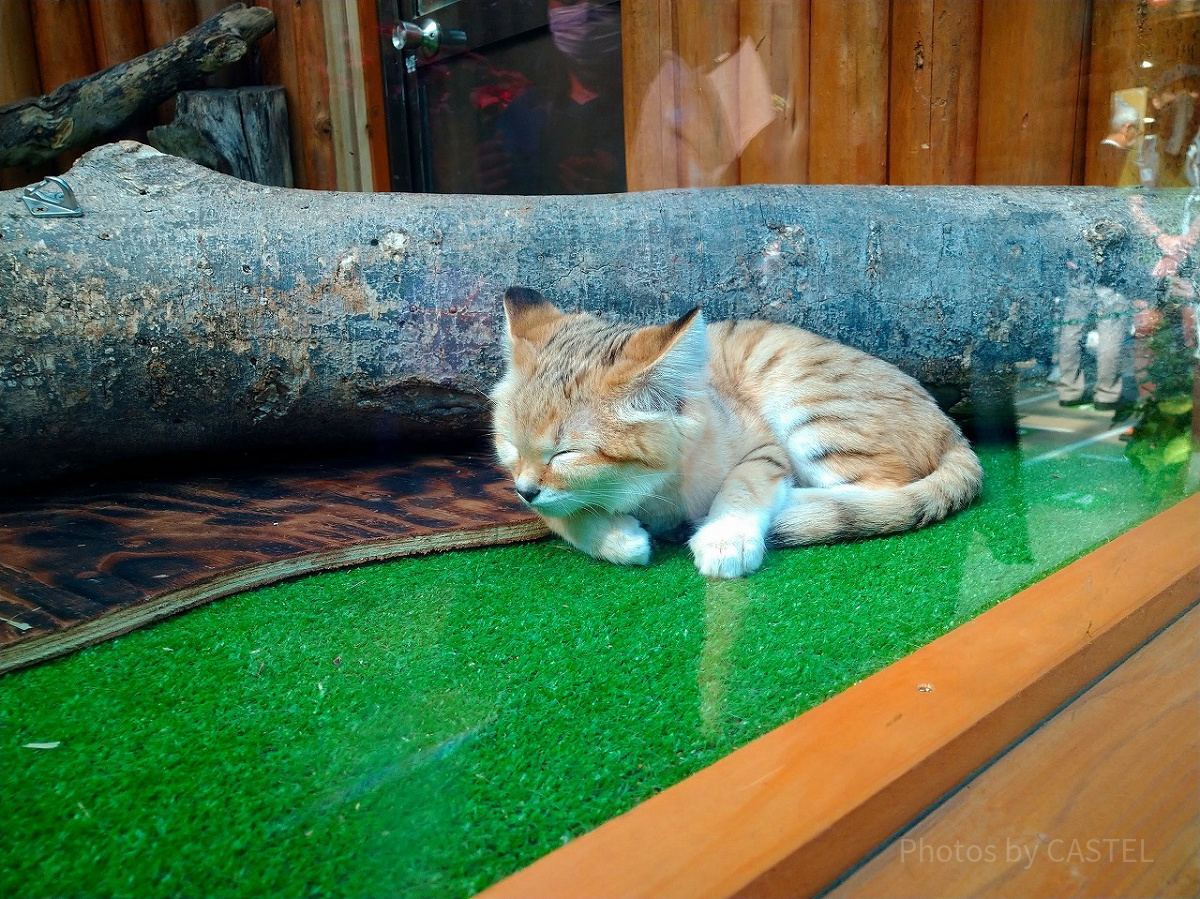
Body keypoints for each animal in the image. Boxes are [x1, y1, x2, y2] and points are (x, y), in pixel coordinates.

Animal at [489, 291, 984, 578]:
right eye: (509, 445)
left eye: (565, 453)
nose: (525, 490)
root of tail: (953, 430)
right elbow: (563, 516)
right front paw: (616, 538)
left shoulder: (762, 447)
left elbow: (744, 483)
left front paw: (725, 535)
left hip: (807, 405)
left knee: (884, 487)